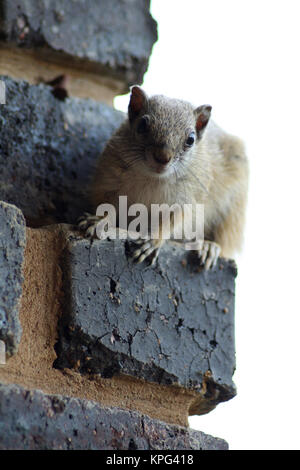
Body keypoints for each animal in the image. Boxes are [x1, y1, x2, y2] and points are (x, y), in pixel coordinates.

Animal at [78, 86, 248, 270]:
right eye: (142, 125)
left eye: (191, 139)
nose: (162, 157)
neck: (152, 178)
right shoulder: (109, 181)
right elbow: (108, 206)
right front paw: (99, 220)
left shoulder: (186, 200)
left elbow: (172, 222)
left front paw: (152, 240)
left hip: (233, 213)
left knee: (224, 239)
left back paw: (209, 247)